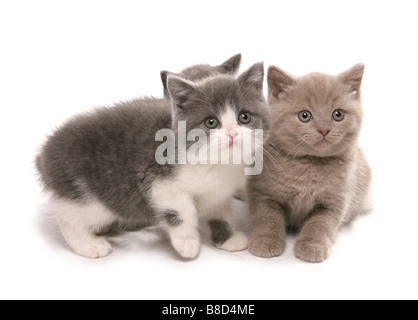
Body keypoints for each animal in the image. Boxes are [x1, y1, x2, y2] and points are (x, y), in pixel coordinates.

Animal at [36, 59, 272, 260]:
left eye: (244, 117)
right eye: (211, 122)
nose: (232, 133)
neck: (218, 163)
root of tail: (43, 156)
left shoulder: (219, 192)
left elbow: (221, 212)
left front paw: (228, 238)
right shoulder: (159, 181)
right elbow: (183, 210)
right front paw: (187, 243)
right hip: (89, 198)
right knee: (69, 218)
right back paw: (89, 244)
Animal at [247, 63, 370, 262]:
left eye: (338, 114)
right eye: (304, 115)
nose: (324, 129)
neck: (309, 165)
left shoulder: (334, 202)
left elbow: (320, 225)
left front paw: (312, 247)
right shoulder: (262, 193)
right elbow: (267, 218)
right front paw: (266, 241)